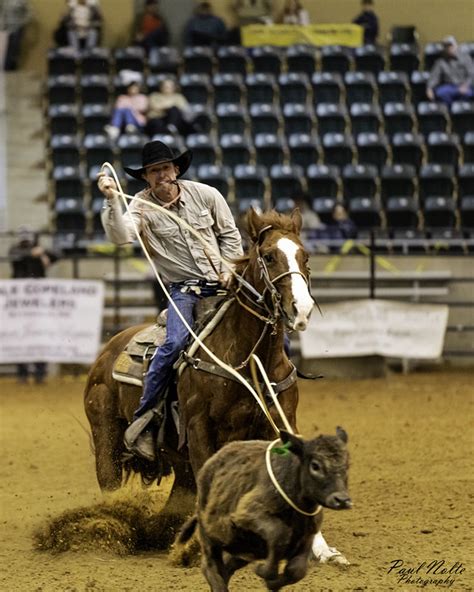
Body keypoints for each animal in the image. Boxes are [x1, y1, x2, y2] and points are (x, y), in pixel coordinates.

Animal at [84, 210, 314, 548]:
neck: (248, 359)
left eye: (305, 256)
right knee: (108, 481)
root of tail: (106, 353)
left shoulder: (281, 422)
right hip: (106, 433)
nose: (301, 309)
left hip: (177, 459)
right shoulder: (198, 427)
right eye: (270, 256)